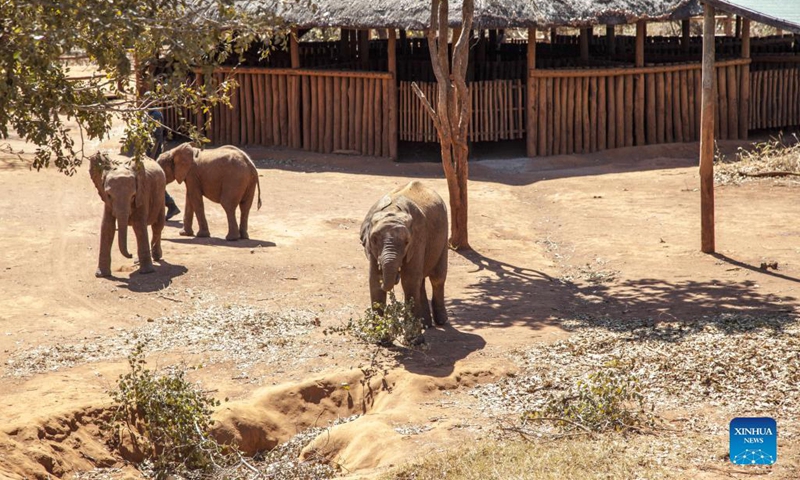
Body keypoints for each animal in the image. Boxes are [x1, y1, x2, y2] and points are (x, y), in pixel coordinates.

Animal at [360, 181, 449, 327]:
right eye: (374, 239)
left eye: (407, 242)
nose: (396, 276)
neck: (392, 211)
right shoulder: (371, 249)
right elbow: (374, 279)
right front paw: (379, 332)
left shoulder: (418, 240)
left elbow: (409, 279)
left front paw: (412, 333)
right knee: (421, 280)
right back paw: (425, 324)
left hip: (444, 234)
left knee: (437, 278)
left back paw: (441, 321)